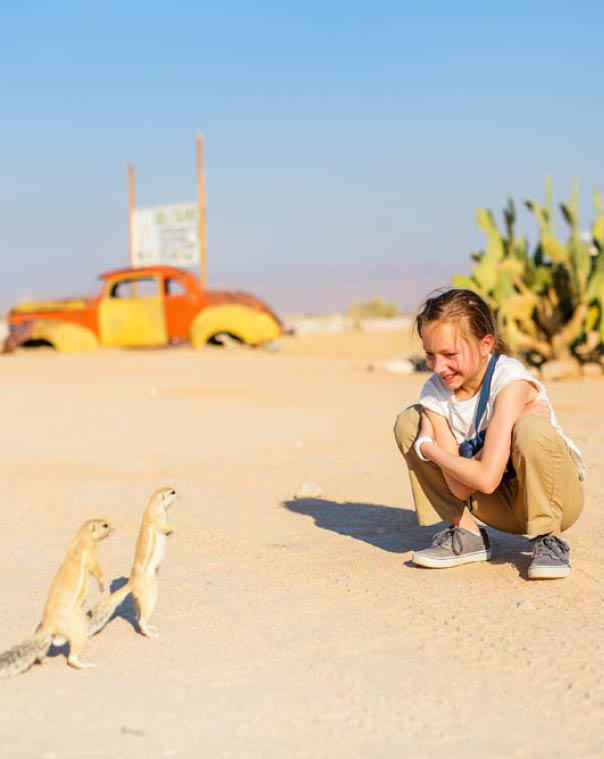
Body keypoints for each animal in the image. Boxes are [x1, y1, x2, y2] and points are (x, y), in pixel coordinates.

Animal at [0, 518, 113, 677]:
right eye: (105, 525)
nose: (114, 526)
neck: (81, 537)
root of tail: (49, 626)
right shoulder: (92, 556)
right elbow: (97, 571)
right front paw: (102, 586)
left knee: (50, 645)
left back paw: (45, 659)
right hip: (79, 627)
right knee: (71, 657)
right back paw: (86, 665)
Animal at [88, 488, 177, 639]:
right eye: (172, 492)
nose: (178, 493)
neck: (151, 505)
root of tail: (132, 583)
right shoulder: (159, 517)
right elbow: (164, 527)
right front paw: (172, 530)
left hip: (137, 600)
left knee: (137, 616)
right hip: (150, 596)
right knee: (141, 620)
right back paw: (151, 634)